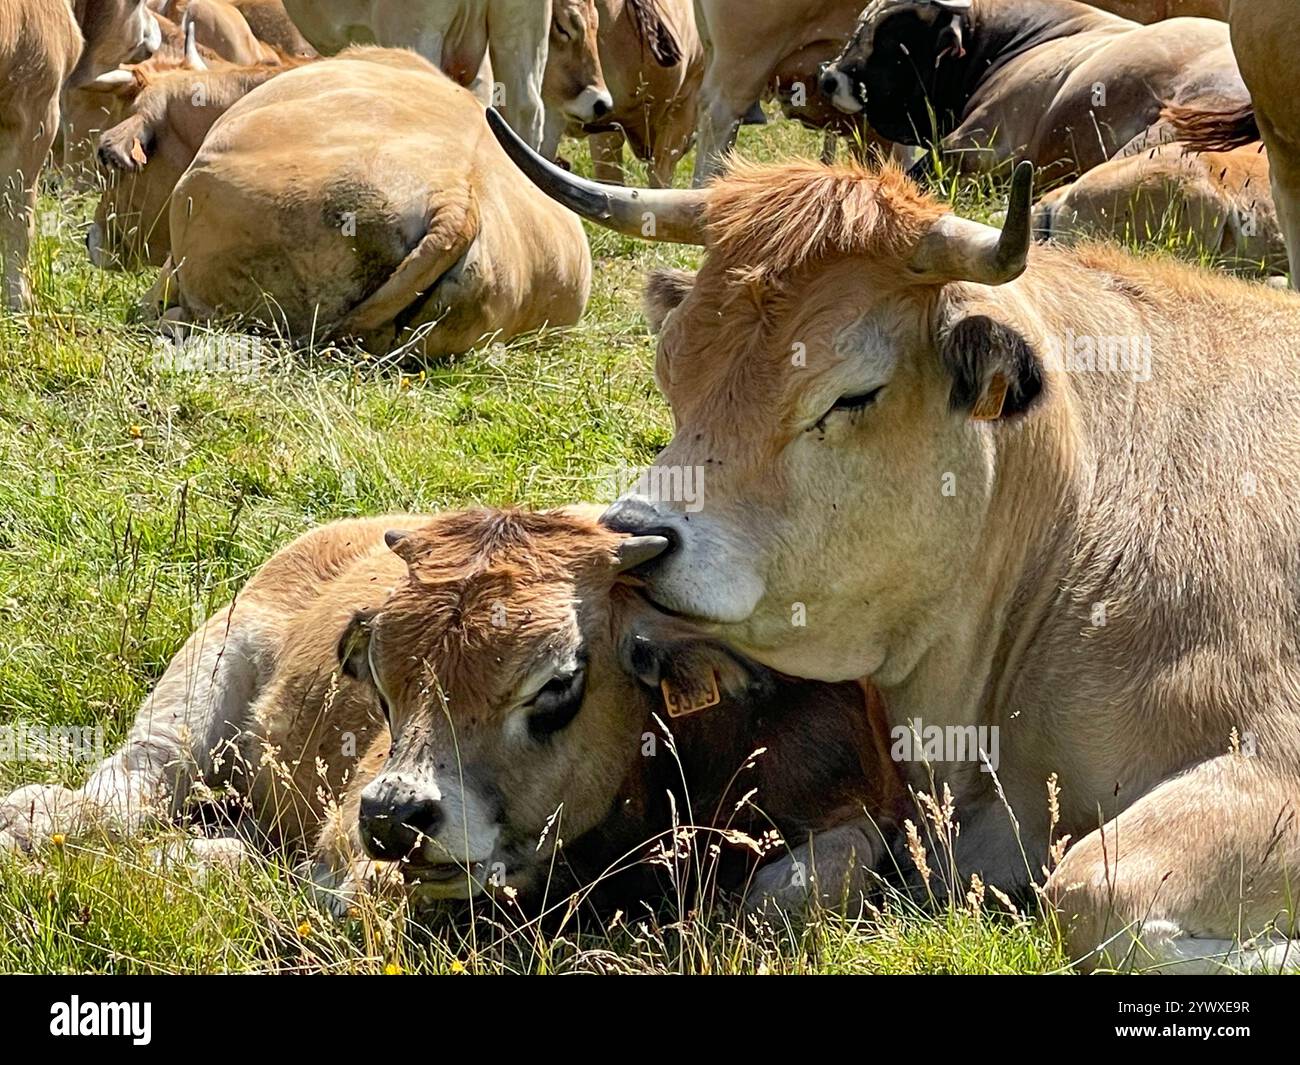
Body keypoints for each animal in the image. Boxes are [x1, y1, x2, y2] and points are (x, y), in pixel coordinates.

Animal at [0, 508, 903, 918]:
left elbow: (801, 886)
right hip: (201, 684)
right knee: (127, 788)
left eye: (558, 683)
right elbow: (343, 887)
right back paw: (38, 824)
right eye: (382, 684)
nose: (394, 815)